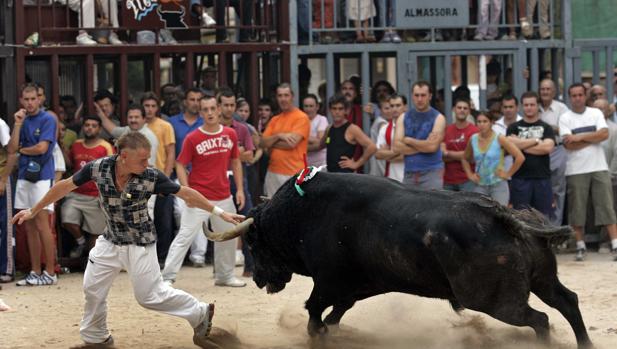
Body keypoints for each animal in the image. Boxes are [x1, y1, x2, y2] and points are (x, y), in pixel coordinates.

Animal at [208, 173, 592, 346]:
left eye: (254, 243)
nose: (260, 278)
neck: (302, 213)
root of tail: (503, 214)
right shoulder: (355, 288)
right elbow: (333, 315)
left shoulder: (329, 282)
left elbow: (314, 312)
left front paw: (317, 336)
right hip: (542, 279)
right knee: (566, 301)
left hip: (495, 301)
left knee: (540, 318)